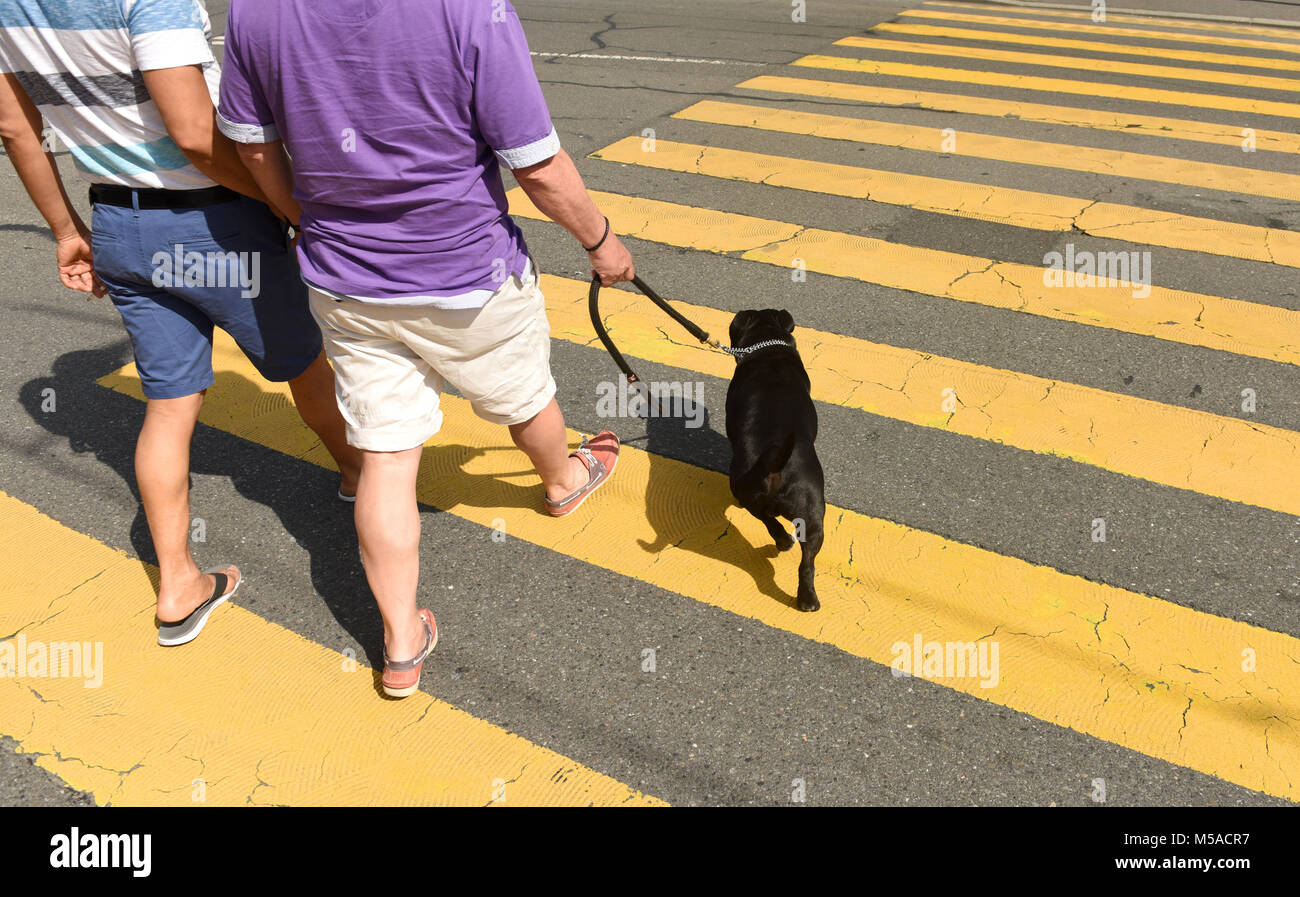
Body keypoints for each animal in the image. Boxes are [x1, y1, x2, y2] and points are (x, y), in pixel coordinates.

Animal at [728, 306, 826, 608]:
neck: (767, 346)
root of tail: (773, 468)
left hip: (754, 494)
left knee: (771, 524)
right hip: (813, 513)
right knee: (805, 560)